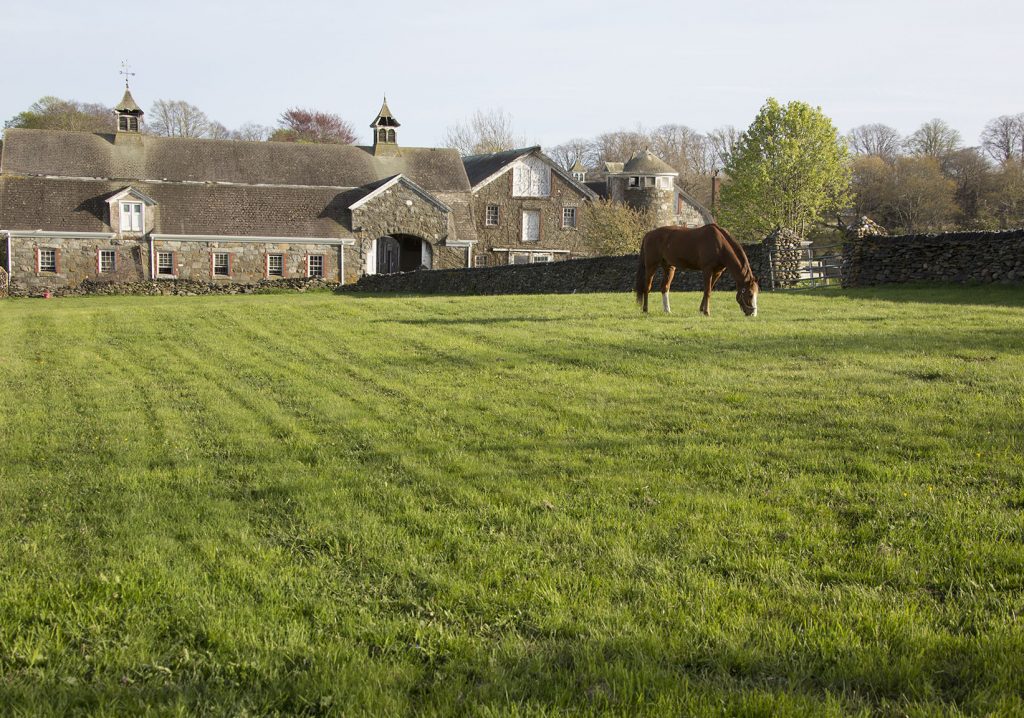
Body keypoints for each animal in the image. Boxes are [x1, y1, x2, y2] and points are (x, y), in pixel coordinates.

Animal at [630, 222, 761, 315]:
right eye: (750, 294)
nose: (753, 313)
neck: (720, 244)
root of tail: (648, 234)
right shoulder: (707, 270)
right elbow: (707, 291)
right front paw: (707, 312)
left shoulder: (717, 272)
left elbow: (708, 290)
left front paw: (701, 310)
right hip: (651, 265)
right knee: (647, 287)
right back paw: (645, 310)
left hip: (669, 267)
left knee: (664, 288)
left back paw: (667, 310)